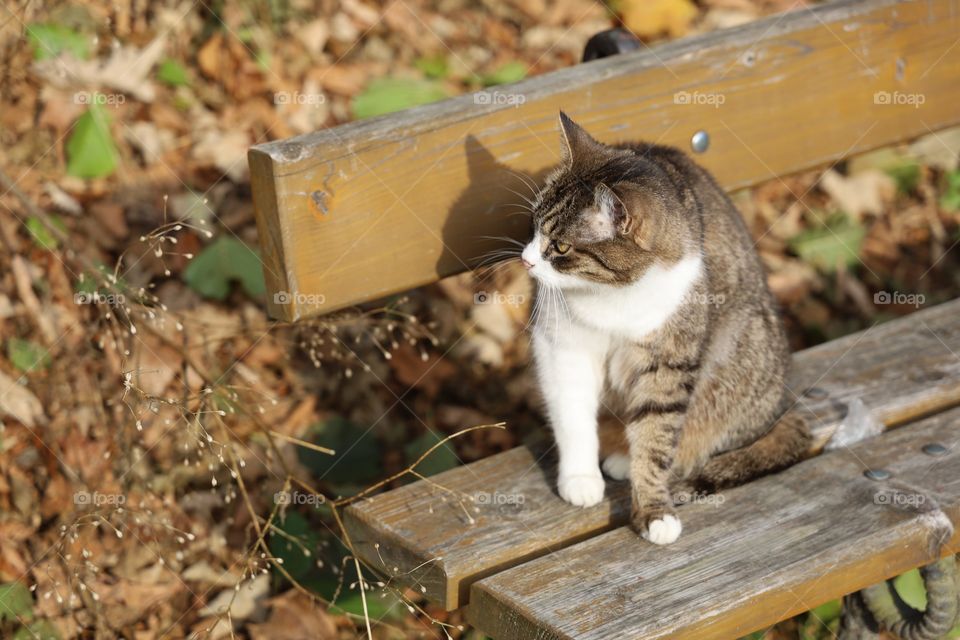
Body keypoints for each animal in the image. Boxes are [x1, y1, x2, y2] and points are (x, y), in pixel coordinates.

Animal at [524, 112, 808, 544]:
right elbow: (572, 414)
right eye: (535, 226)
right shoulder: (562, 345)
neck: (611, 294)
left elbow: (657, 433)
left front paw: (653, 508)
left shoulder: (670, 359)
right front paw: (580, 479)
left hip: (743, 351)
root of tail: (780, 407)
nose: (524, 260)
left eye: (559, 248)